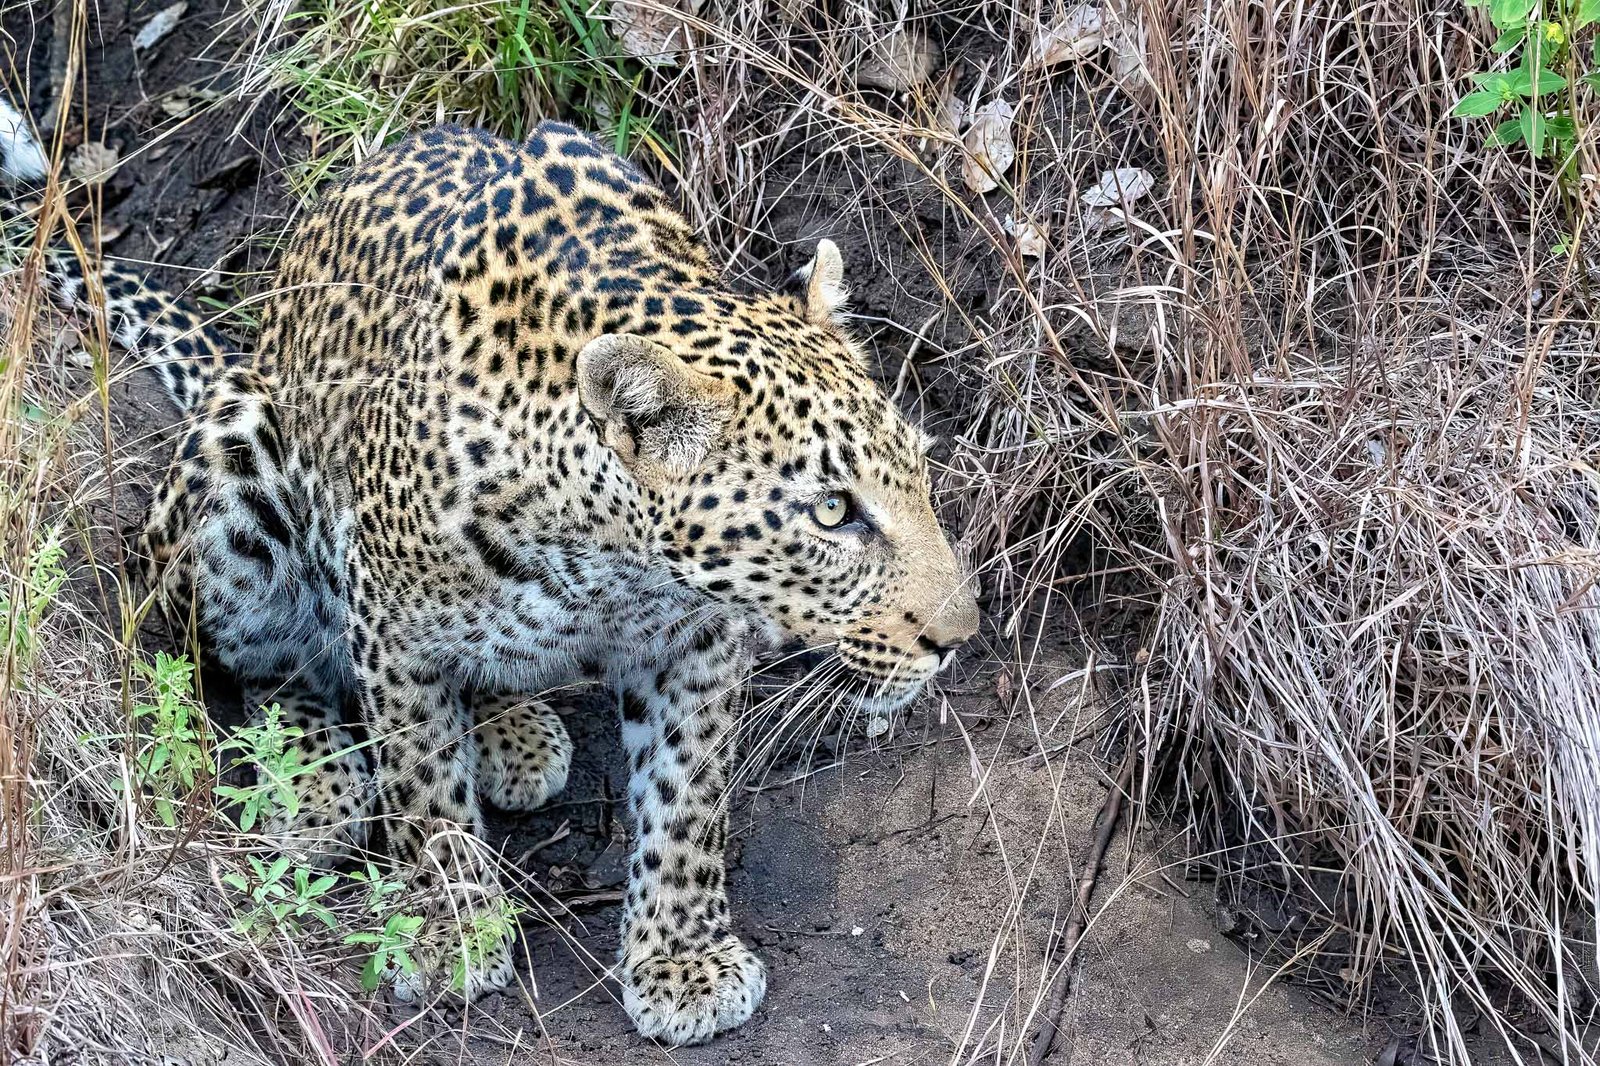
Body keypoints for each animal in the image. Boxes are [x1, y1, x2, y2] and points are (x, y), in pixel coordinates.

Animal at [48, 120, 980, 1045]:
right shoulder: (392, 632)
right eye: (832, 511)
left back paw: (510, 729)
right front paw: (450, 929)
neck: (614, 563)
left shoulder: (699, 641)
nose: (959, 638)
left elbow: (687, 798)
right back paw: (313, 780)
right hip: (235, 467)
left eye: (917, 468)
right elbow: (423, 786)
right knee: (271, 663)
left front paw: (682, 958)